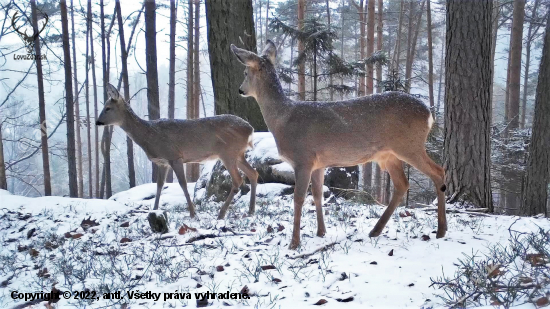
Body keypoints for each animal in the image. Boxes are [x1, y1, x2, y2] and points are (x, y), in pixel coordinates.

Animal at [96, 83, 260, 219]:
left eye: (107, 108)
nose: (97, 122)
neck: (149, 135)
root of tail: (250, 129)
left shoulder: (174, 156)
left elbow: (183, 184)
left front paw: (193, 213)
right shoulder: (162, 162)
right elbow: (159, 185)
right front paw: (154, 210)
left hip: (228, 152)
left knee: (238, 179)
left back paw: (222, 213)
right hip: (238, 154)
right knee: (253, 173)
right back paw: (251, 210)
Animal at [231, 41, 446, 249]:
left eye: (245, 72)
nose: (240, 90)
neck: (282, 119)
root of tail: (429, 114)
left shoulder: (303, 158)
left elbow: (299, 198)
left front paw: (294, 243)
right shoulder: (318, 163)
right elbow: (317, 194)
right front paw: (321, 232)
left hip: (409, 145)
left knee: (438, 171)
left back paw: (441, 230)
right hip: (389, 154)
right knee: (402, 184)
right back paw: (375, 230)